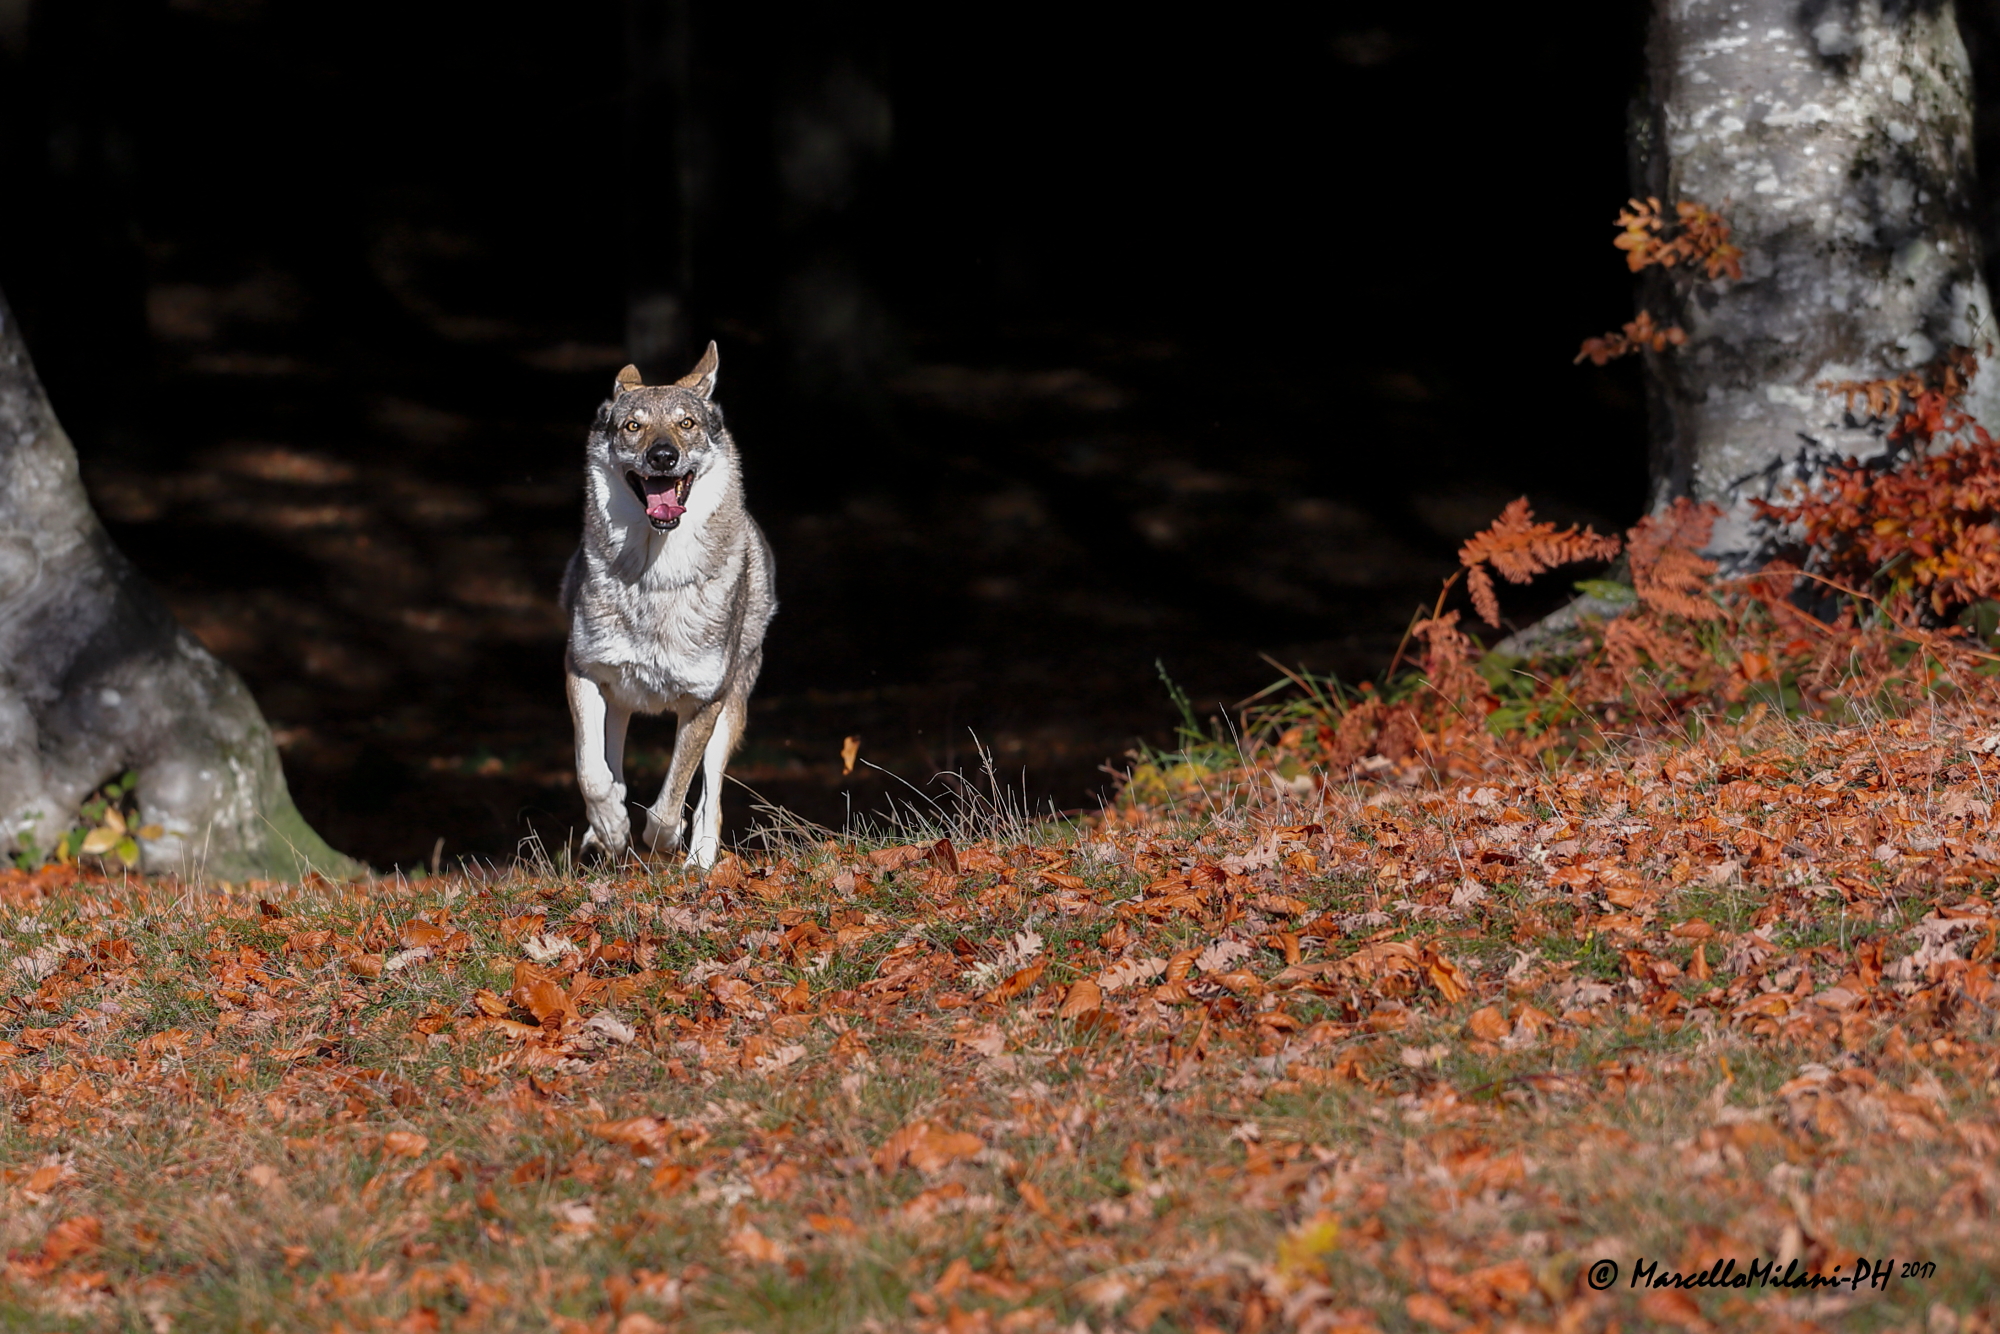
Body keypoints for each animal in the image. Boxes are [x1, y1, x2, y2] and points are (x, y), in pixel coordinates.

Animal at [560, 342, 777, 868]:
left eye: (687, 423)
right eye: (633, 426)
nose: (663, 456)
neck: (654, 582)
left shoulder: (704, 702)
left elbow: (670, 801)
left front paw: (664, 837)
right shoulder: (582, 671)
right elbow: (592, 774)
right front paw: (612, 828)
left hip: (730, 710)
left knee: (711, 796)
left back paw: (699, 860)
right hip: (619, 700)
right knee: (610, 765)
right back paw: (604, 834)